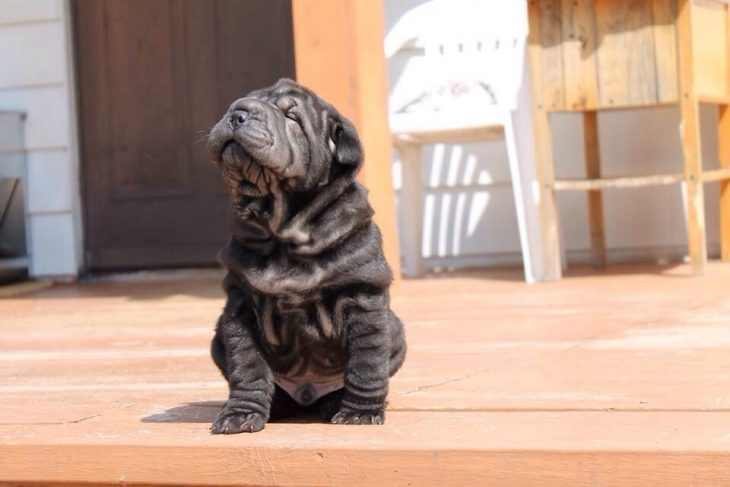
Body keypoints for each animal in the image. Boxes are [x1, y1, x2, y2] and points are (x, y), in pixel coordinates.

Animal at [206, 79, 404, 434]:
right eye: (239, 103)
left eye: (292, 116)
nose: (238, 113)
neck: (284, 230)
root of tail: (307, 394)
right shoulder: (240, 304)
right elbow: (247, 366)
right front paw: (240, 414)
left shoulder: (364, 298)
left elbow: (366, 363)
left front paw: (360, 413)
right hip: (217, 340)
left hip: (396, 330)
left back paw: (335, 403)